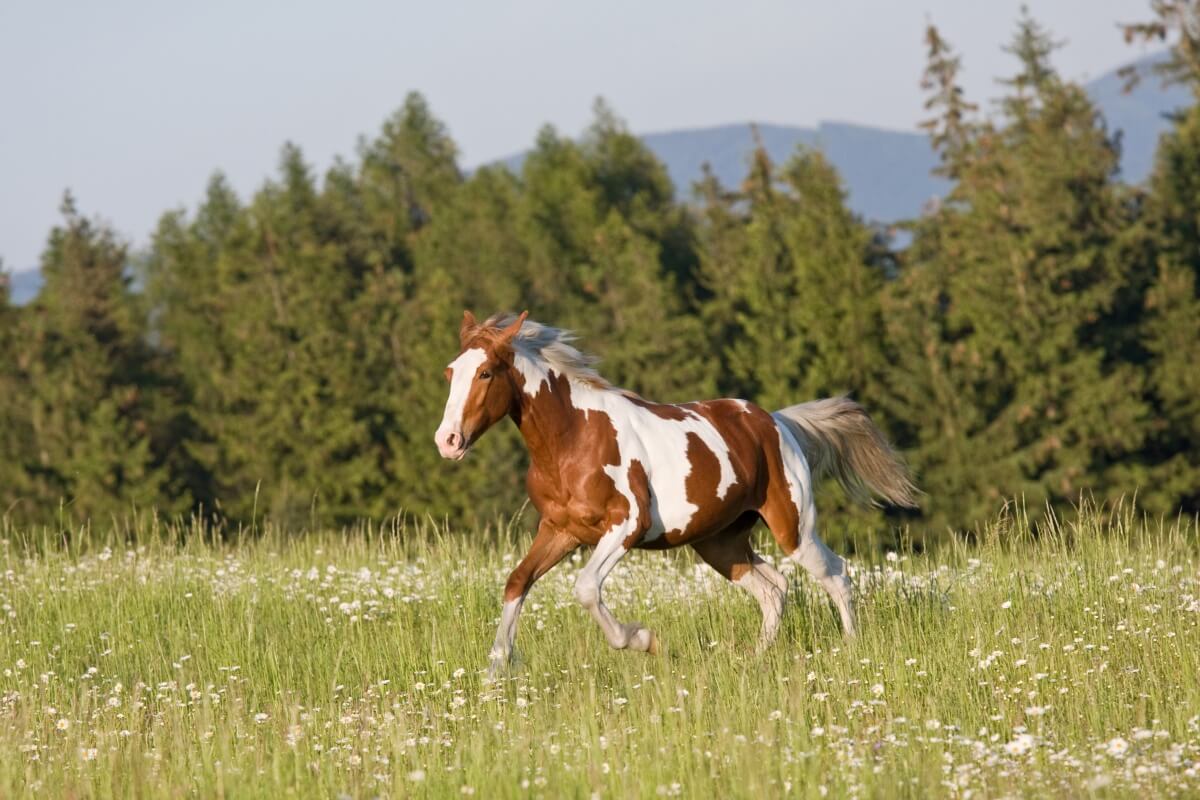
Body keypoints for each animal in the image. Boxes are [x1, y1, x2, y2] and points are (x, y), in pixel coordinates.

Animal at [435, 311, 917, 674]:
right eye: (450, 372)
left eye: (486, 372)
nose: (448, 441)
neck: (574, 437)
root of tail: (778, 422)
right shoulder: (559, 530)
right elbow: (517, 582)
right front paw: (495, 670)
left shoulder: (626, 526)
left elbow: (586, 588)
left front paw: (643, 639)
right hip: (720, 543)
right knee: (773, 588)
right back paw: (755, 657)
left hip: (793, 529)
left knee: (835, 573)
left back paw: (852, 647)